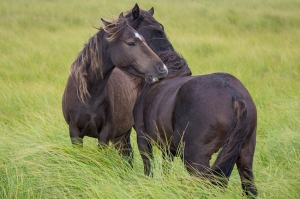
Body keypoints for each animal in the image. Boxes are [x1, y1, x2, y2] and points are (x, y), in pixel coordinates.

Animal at [125, 4, 256, 197]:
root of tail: (235, 97)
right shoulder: (168, 148)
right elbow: (166, 170)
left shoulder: (143, 138)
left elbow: (148, 169)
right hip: (245, 154)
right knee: (250, 188)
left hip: (196, 158)